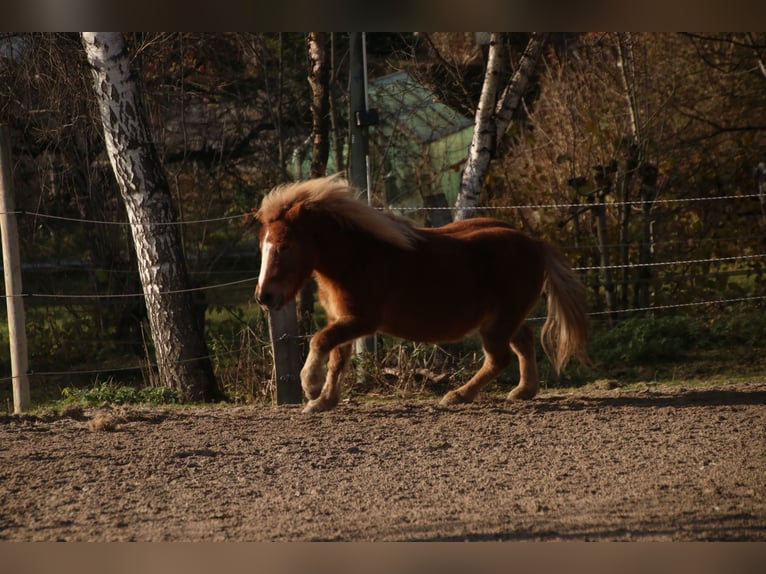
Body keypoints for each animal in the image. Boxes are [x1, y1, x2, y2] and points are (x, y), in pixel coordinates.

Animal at [255, 177, 592, 414]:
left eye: (284, 246)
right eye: (262, 245)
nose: (264, 297)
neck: (358, 258)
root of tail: (535, 243)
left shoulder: (361, 320)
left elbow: (319, 341)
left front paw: (309, 386)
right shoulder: (342, 318)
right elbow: (337, 359)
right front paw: (323, 401)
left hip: (498, 323)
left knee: (500, 358)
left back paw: (458, 395)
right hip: (504, 318)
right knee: (523, 342)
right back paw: (523, 391)